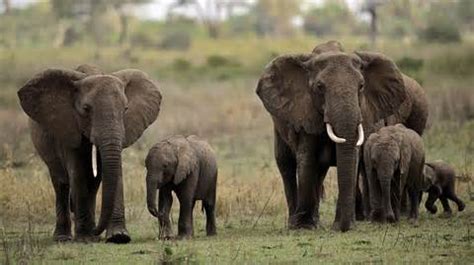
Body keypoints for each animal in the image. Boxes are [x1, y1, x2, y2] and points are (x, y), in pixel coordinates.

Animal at [17, 63, 162, 241]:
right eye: (86, 109)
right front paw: (85, 238)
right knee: (60, 182)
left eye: (125, 109)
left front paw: (118, 237)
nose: (96, 231)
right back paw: (64, 237)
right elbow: (77, 172)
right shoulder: (68, 126)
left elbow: (113, 170)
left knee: (93, 183)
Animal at [258, 39, 432, 231]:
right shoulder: (305, 111)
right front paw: (304, 226)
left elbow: (352, 159)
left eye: (361, 86)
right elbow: (307, 159)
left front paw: (339, 224)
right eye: (319, 87)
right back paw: (295, 222)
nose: (343, 227)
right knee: (286, 163)